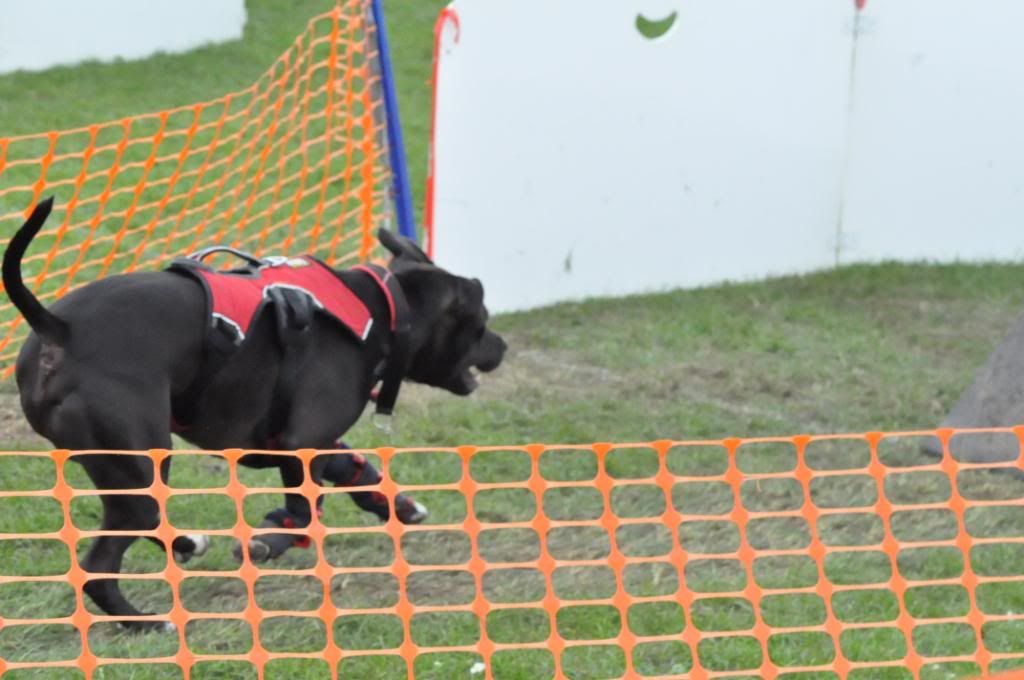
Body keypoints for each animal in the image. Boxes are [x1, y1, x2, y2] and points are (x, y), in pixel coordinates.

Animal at [2, 197, 505, 630]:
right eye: (482, 319)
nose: (501, 344)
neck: (384, 308)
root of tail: (57, 328)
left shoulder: (305, 442)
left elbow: (353, 467)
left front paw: (398, 504)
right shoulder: (303, 444)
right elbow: (304, 513)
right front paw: (271, 538)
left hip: (121, 470)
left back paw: (179, 558)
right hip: (140, 463)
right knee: (105, 560)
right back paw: (149, 618)